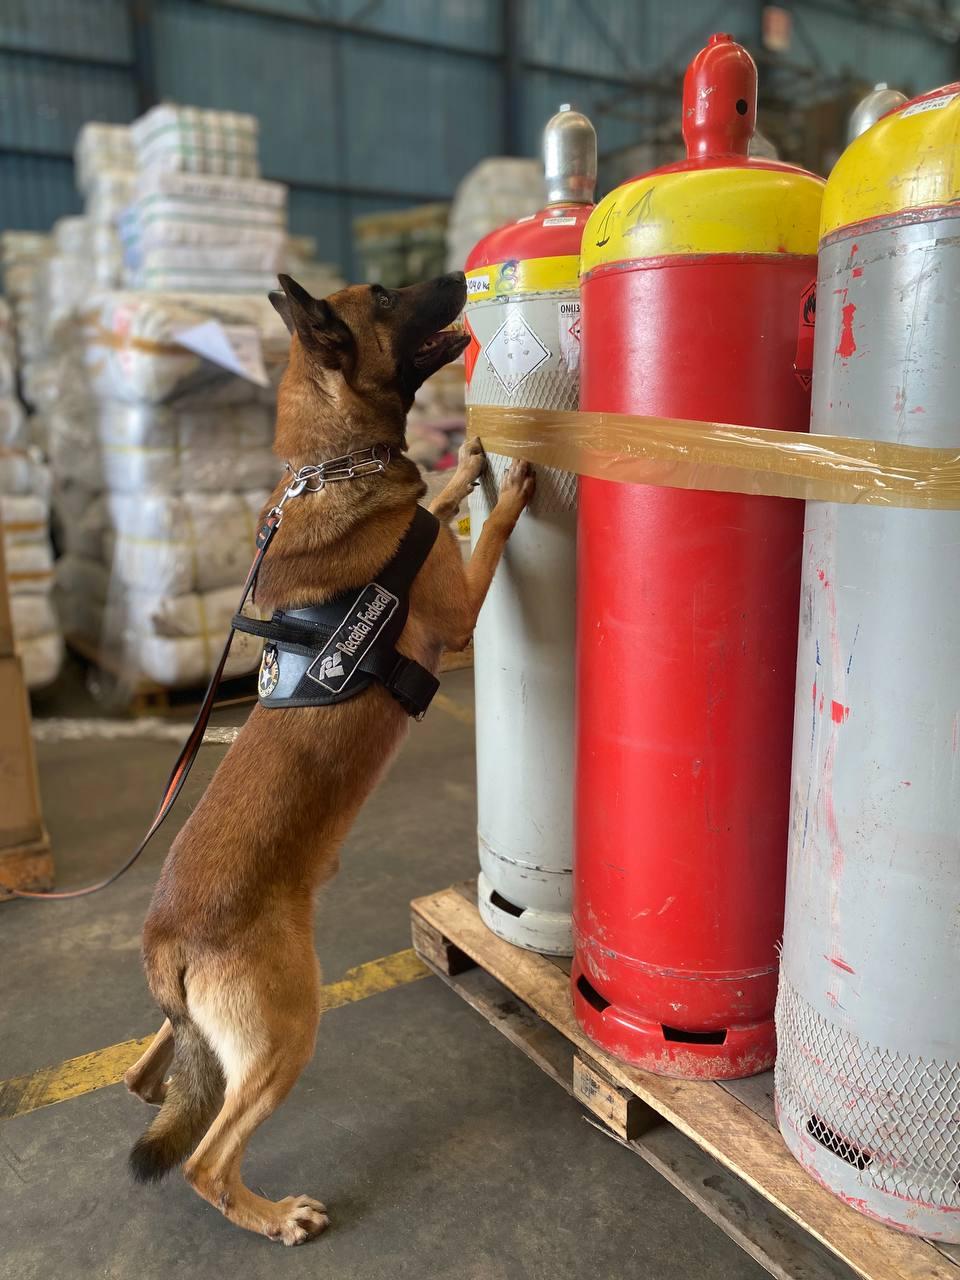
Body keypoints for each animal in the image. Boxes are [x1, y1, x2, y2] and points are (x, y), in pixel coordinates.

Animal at [120, 270, 535, 1239]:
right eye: (384, 295)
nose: (459, 277)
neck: (333, 464)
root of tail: (166, 939)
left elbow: (441, 506)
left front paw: (460, 466)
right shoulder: (458, 610)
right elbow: (491, 527)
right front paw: (501, 481)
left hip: (210, 1035)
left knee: (148, 1078)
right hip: (289, 1028)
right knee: (204, 1158)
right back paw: (273, 1216)